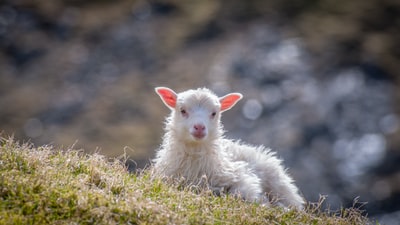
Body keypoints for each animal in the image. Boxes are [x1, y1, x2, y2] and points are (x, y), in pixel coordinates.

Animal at [152, 86, 304, 209]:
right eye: (182, 111)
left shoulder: (241, 176)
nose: (199, 127)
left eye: (214, 113)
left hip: (280, 184)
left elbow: (241, 193)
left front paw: (264, 202)